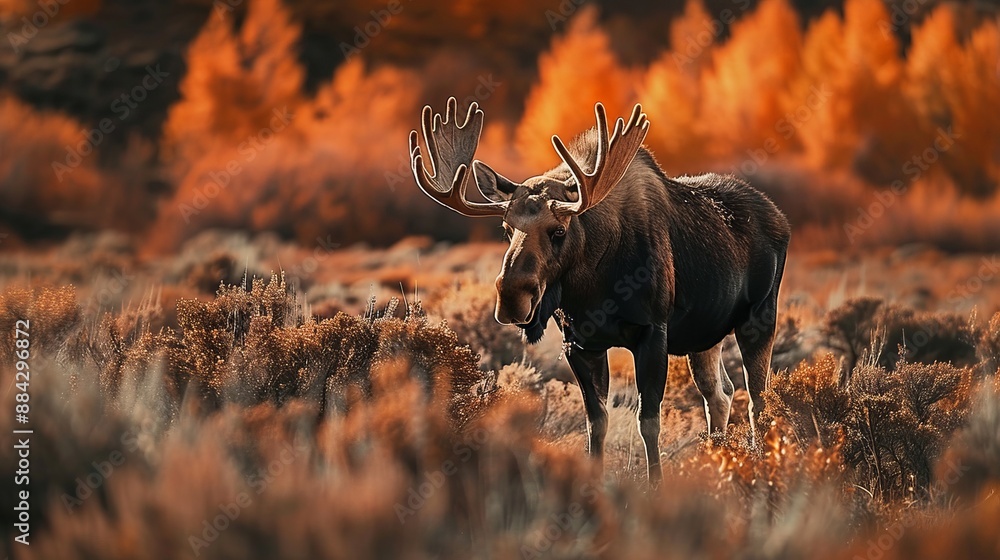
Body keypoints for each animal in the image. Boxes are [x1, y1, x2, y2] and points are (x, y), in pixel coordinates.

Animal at [408, 98, 790, 483]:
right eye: (506, 228)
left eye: (558, 230)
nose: (512, 298)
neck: (593, 290)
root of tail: (781, 218)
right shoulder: (579, 343)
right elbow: (596, 424)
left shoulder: (653, 333)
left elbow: (648, 422)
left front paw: (656, 483)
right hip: (704, 337)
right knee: (720, 395)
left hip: (759, 317)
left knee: (758, 401)